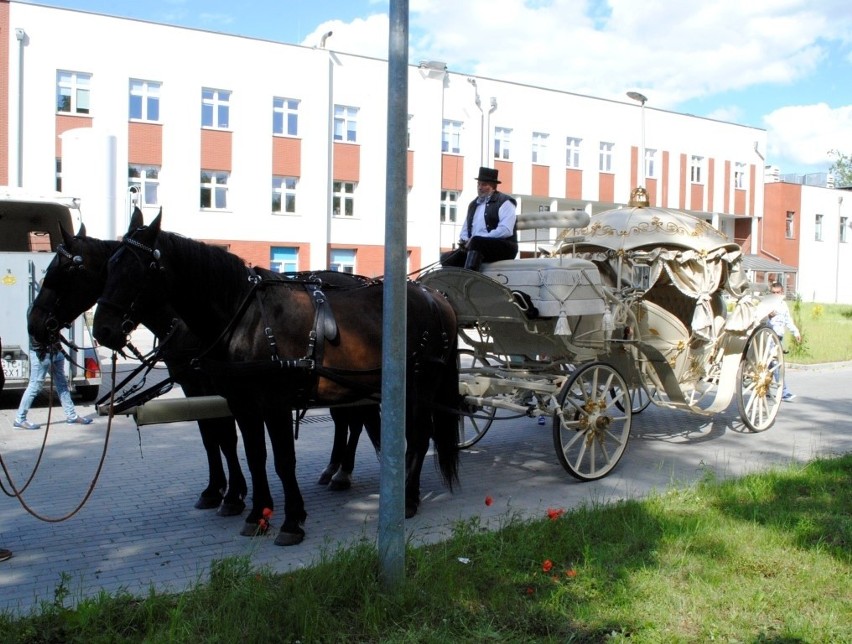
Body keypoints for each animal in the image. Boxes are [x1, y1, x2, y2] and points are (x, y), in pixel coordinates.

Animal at [93, 214, 460, 544]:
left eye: (137, 270)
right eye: (107, 267)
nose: (102, 331)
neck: (247, 319)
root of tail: (435, 297)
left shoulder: (275, 404)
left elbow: (283, 460)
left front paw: (292, 521)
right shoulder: (242, 404)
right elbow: (255, 456)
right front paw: (257, 514)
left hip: (419, 386)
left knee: (418, 437)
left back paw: (407, 498)